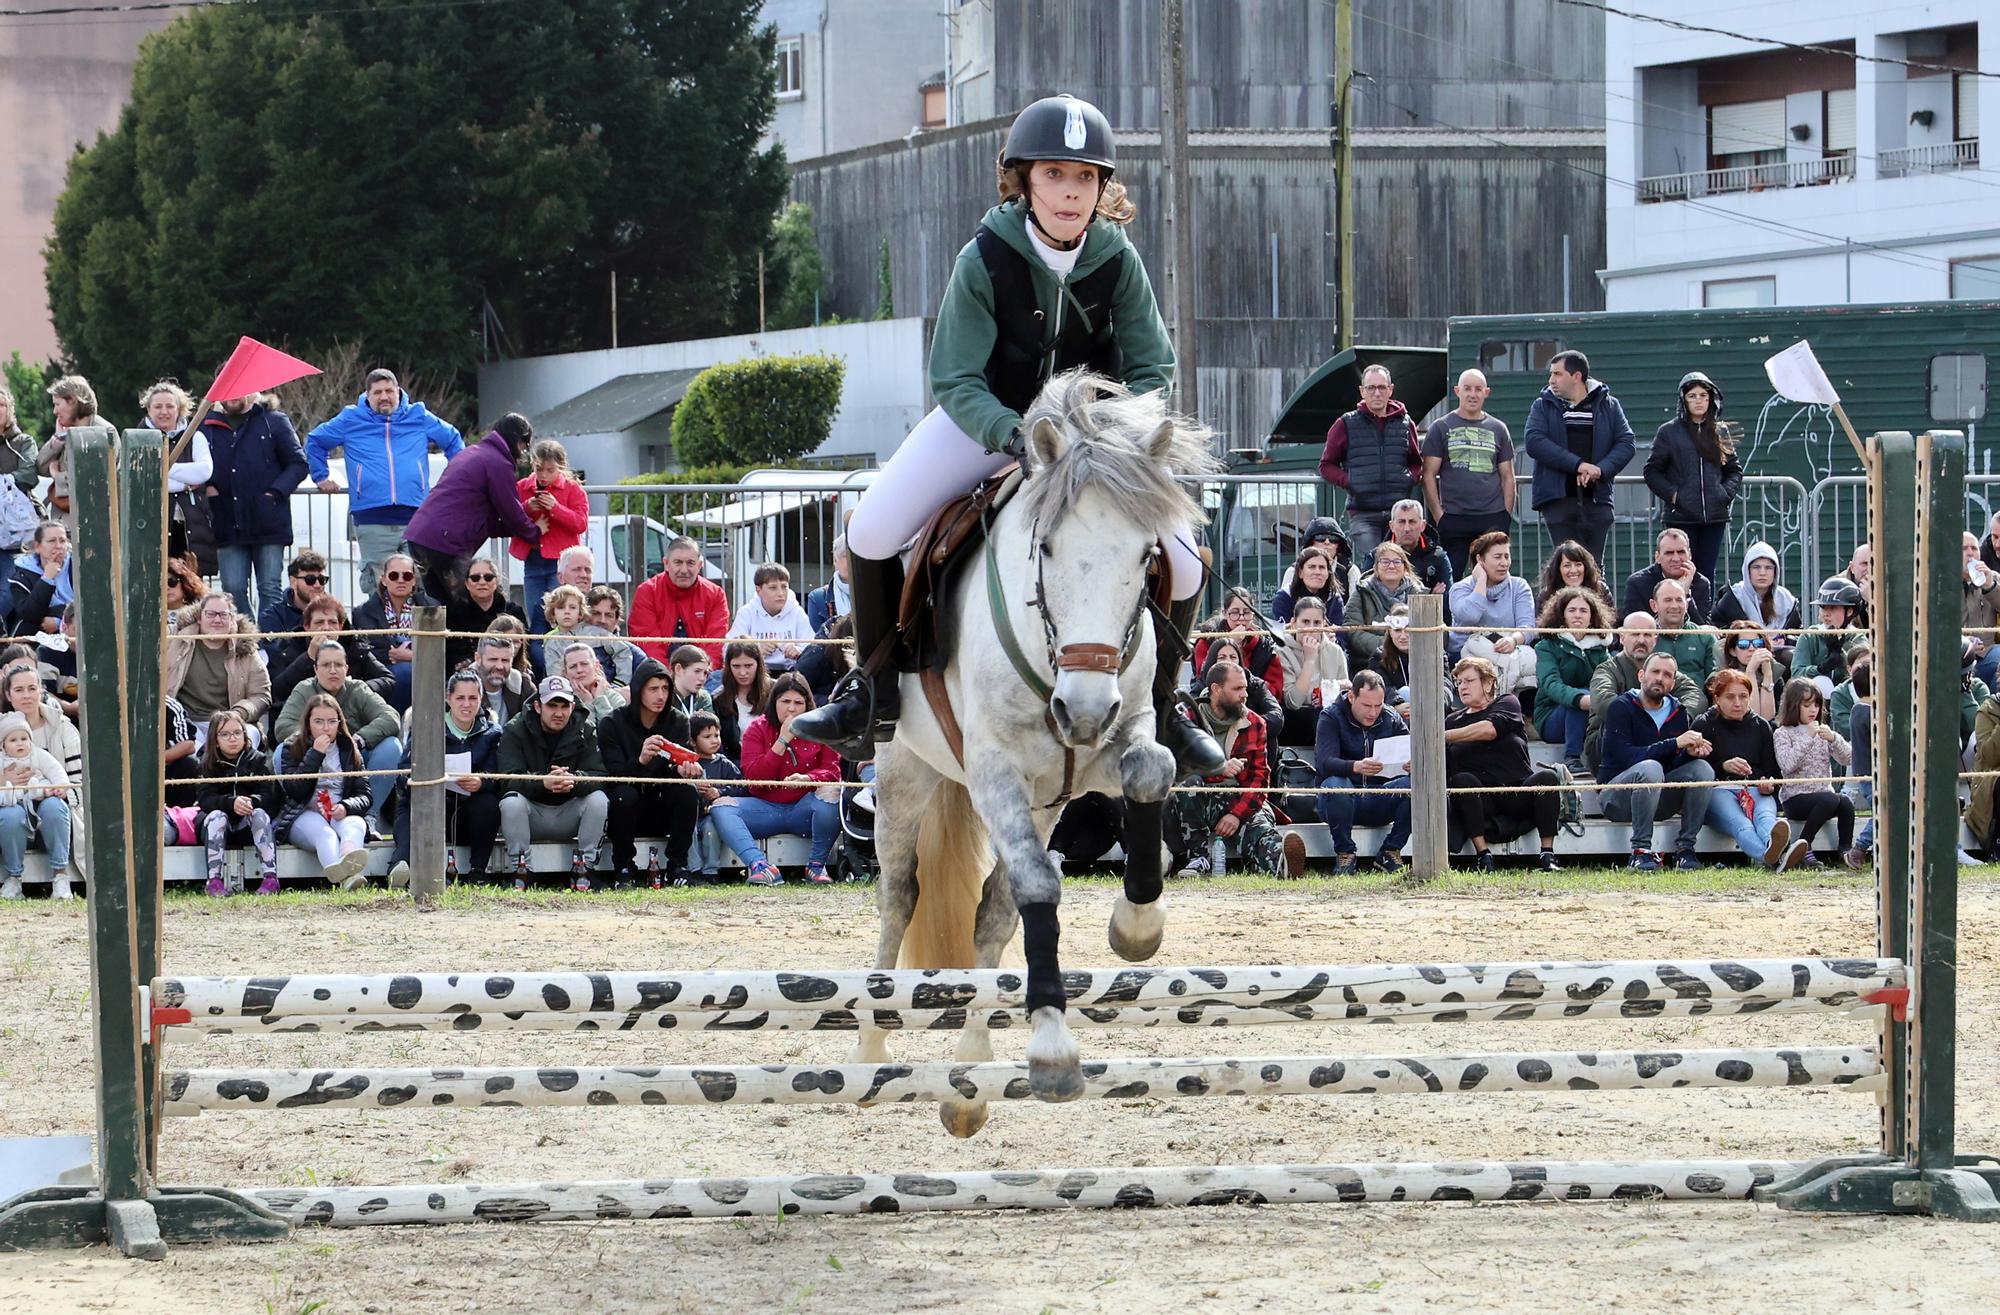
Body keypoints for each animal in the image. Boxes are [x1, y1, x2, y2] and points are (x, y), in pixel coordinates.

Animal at [848, 371, 1216, 1135]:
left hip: (1048, 797)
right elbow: (1041, 886)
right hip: (907, 771)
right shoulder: (993, 767)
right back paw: (870, 1048)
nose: (1082, 710)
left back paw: (968, 1082)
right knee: (900, 896)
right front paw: (1052, 1049)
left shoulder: (1119, 735)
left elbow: (1153, 772)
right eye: (1044, 548)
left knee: (993, 908)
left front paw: (1136, 928)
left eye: (1147, 557)